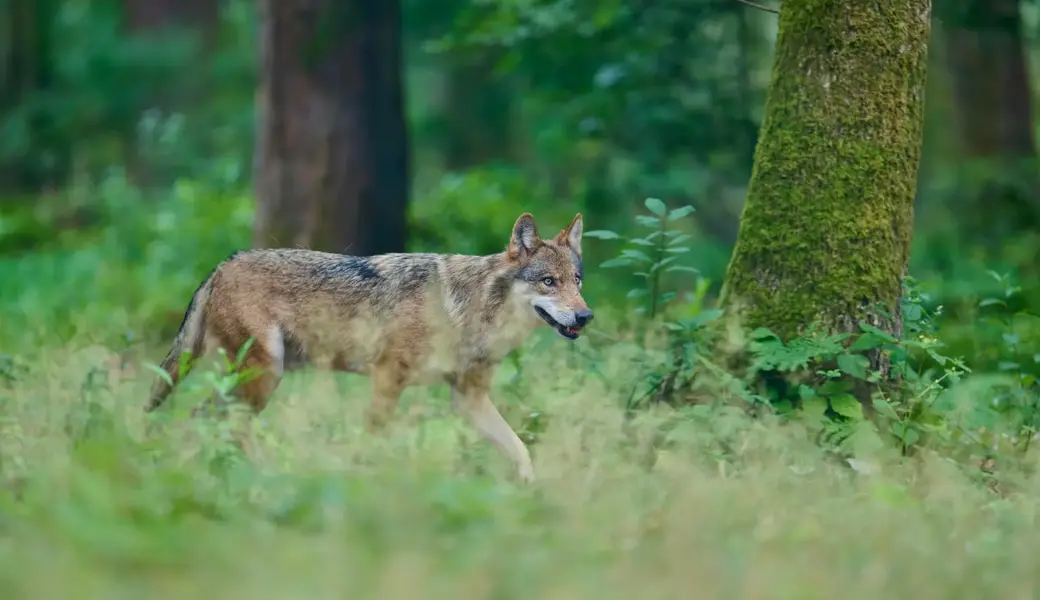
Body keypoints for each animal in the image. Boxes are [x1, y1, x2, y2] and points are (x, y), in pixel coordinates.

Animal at [145, 212, 593, 482]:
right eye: (548, 282)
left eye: (577, 281)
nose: (586, 316)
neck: (468, 308)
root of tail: (223, 264)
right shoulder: (387, 378)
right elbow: (373, 442)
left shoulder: (468, 398)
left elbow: (521, 451)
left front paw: (531, 498)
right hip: (264, 375)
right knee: (216, 421)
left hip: (254, 381)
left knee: (205, 419)